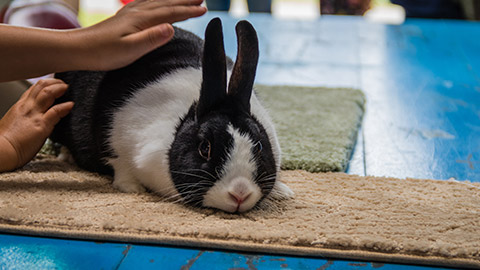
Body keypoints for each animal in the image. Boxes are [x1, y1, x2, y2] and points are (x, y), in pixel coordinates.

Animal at [51, 17, 292, 214]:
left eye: (259, 146)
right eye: (204, 148)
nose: (240, 194)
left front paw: (283, 191)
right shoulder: (115, 143)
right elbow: (119, 165)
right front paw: (133, 188)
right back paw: (66, 156)